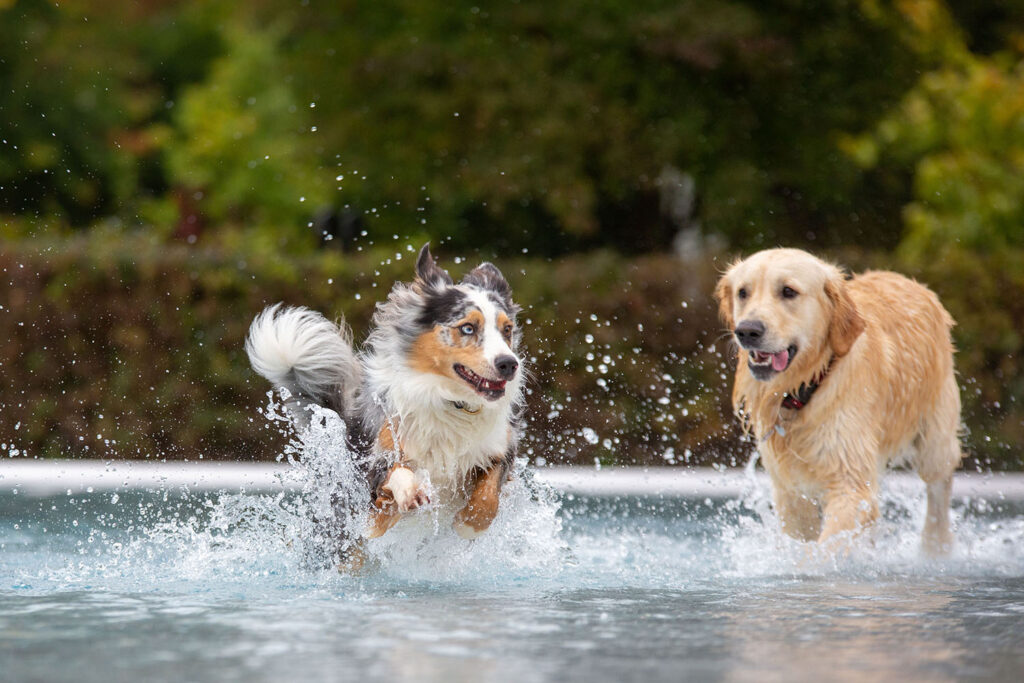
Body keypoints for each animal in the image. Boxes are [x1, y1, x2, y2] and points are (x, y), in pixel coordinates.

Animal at [716, 250, 962, 557]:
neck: (806, 387)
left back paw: (934, 550)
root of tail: (912, 283)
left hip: (934, 442)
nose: (747, 331)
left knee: (939, 489)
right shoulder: (791, 491)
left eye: (788, 291)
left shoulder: (850, 482)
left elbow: (821, 552)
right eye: (743, 292)